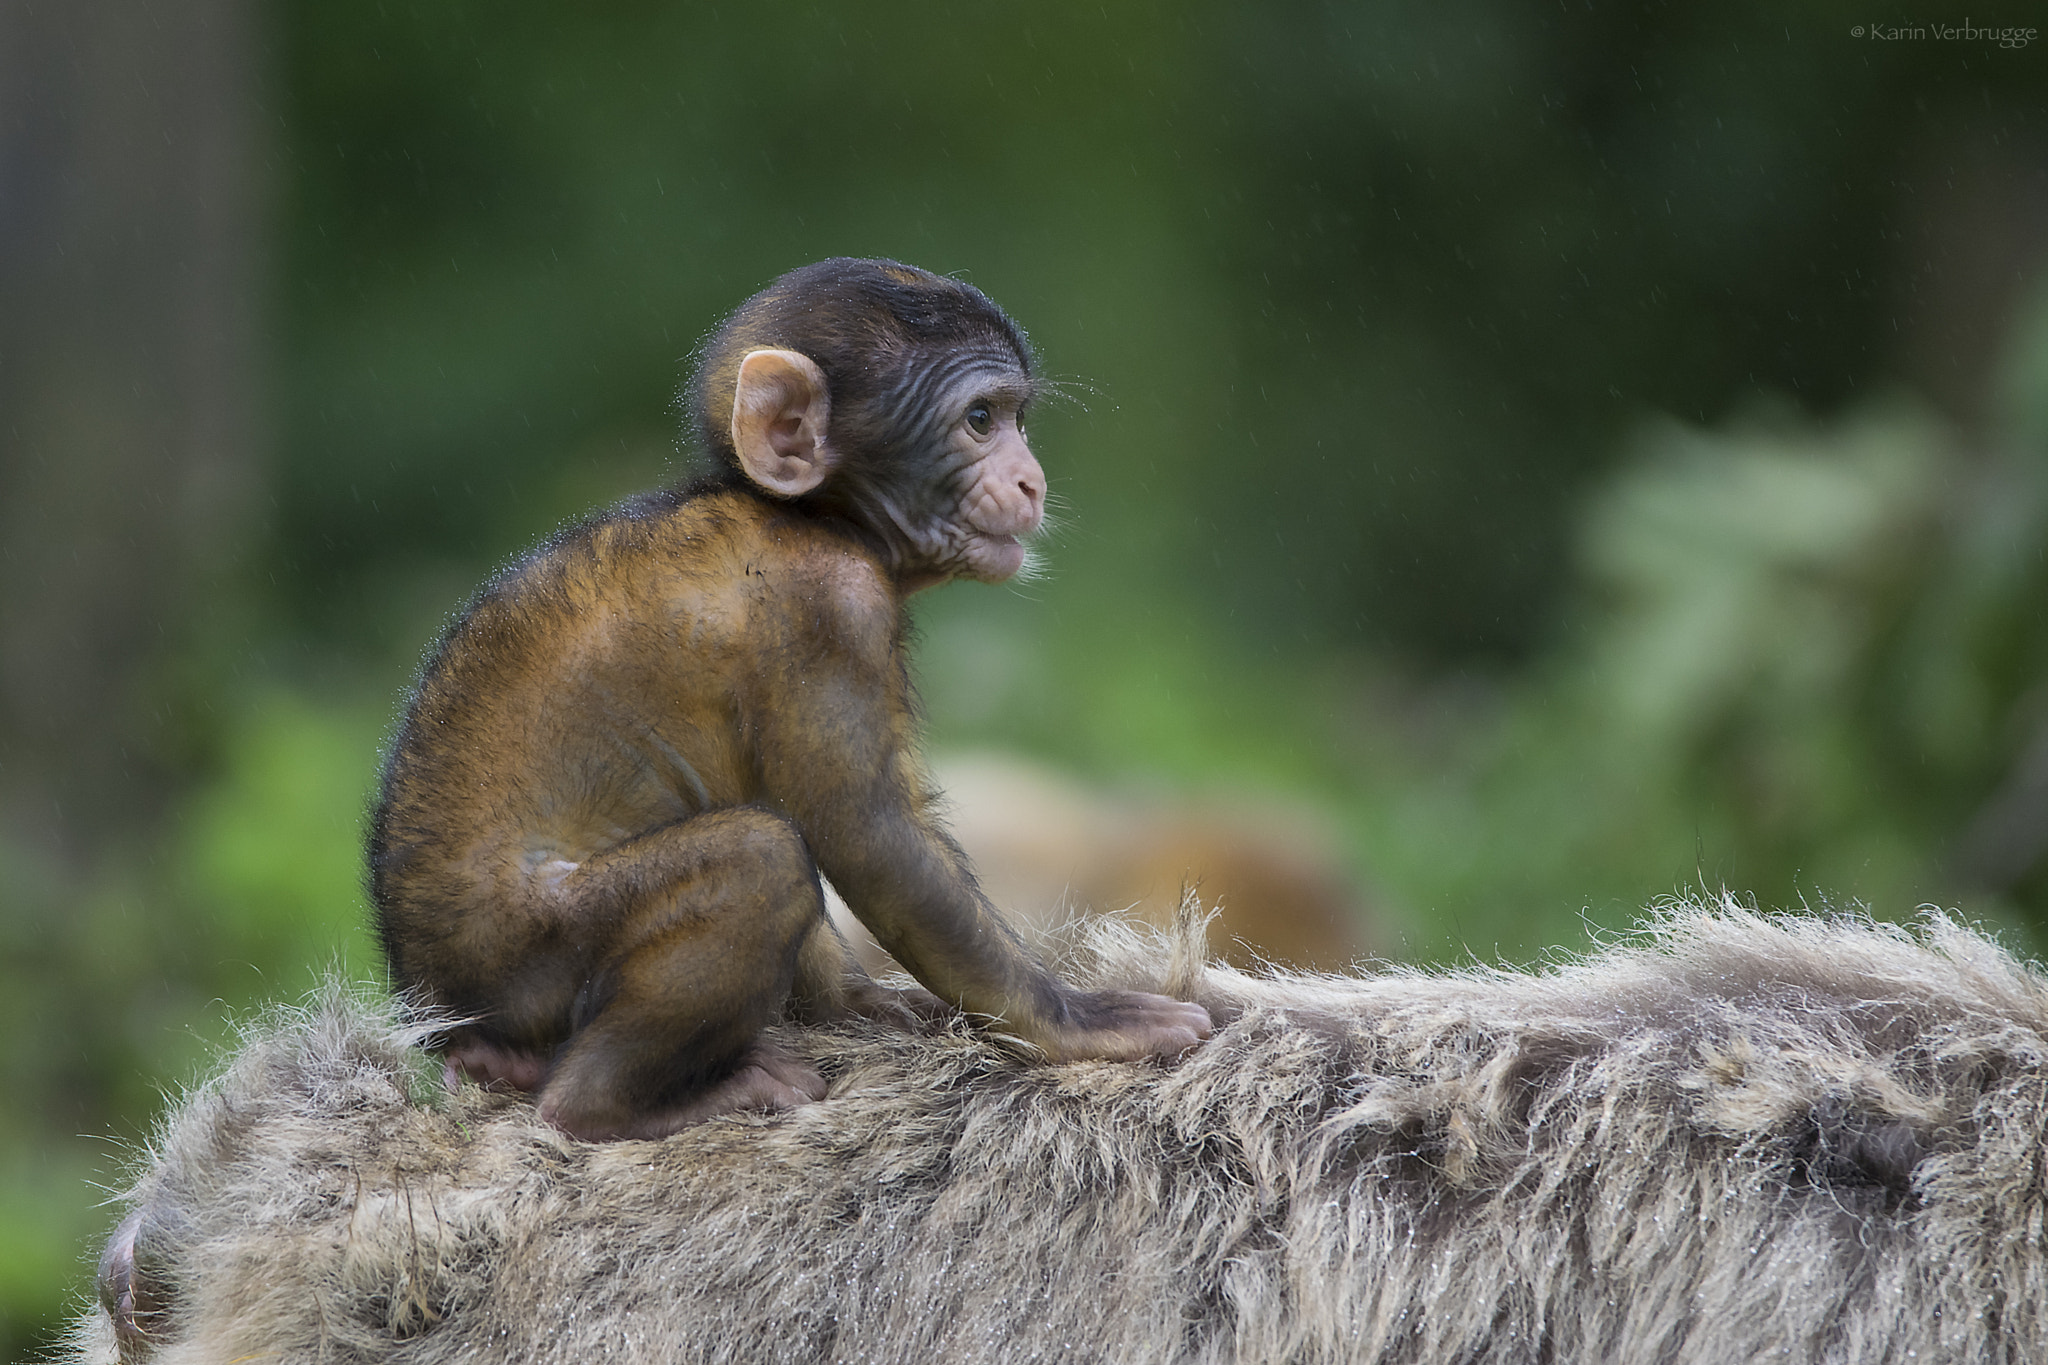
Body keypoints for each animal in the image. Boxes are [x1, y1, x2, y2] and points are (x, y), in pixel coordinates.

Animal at [368, 258, 1213, 1141]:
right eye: (980, 419)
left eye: (1018, 419)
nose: (1031, 479)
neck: (805, 514)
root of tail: (436, 1009)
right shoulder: (829, 606)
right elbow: (868, 837)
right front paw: (1073, 1021)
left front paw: (858, 1001)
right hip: (528, 962)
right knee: (757, 858)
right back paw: (602, 1102)